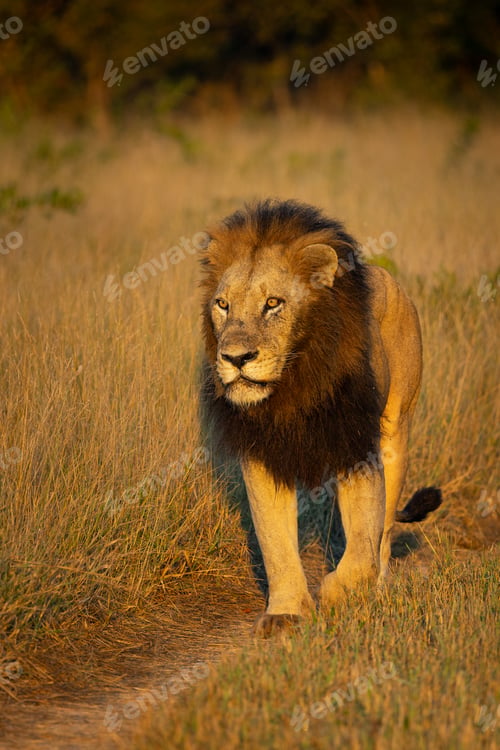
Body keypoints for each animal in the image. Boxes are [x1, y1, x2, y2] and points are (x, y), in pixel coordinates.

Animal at [200, 199, 442, 636]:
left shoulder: (356, 446)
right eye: (222, 305)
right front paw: (286, 613)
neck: (293, 385)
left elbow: (364, 542)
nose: (235, 358)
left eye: (273, 303)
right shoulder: (263, 456)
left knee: (384, 532)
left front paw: (339, 594)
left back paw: (377, 590)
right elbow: (275, 543)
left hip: (396, 429)